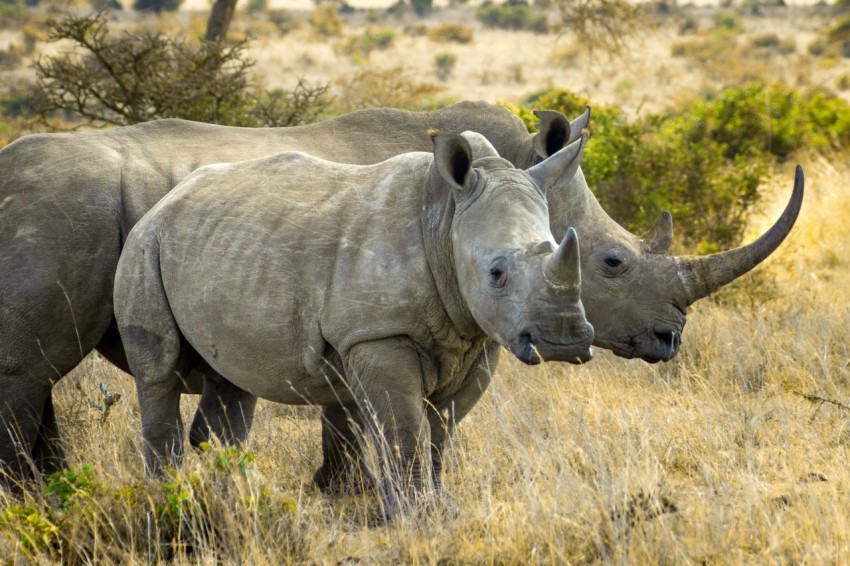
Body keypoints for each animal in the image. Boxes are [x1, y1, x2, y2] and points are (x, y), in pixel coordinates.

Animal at [113, 132, 595, 518]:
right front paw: (412, 516)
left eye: (556, 246)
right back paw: (166, 496)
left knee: (233, 378)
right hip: (145, 244)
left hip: (219, 247)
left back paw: (229, 494)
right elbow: (403, 430)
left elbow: (441, 431)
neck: (445, 223)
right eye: (496, 273)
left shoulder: (478, 338)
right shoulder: (378, 333)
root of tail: (168, 198)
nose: (566, 341)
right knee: (159, 371)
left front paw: (444, 510)